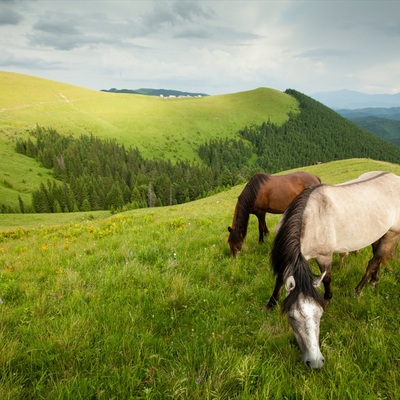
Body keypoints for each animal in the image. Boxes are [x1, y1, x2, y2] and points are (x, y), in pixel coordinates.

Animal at [268, 171, 400, 368]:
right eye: (291, 317)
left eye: (320, 314)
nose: (315, 363)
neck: (313, 218)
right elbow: (280, 279)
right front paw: (270, 303)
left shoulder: (325, 256)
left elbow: (328, 278)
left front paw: (328, 298)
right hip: (380, 233)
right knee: (378, 258)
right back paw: (374, 281)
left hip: (392, 234)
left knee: (374, 260)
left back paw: (358, 290)